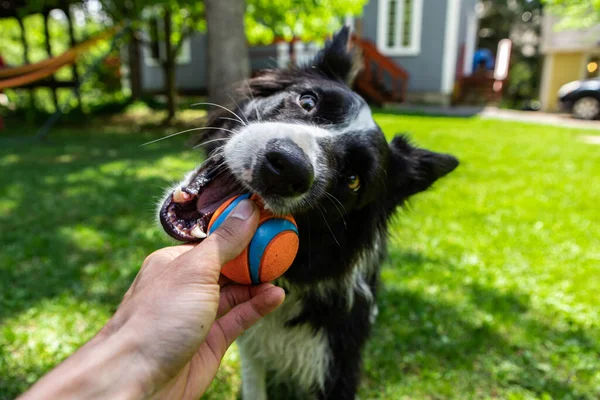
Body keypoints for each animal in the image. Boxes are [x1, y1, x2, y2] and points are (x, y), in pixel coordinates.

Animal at [157, 26, 458, 398]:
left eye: (354, 180)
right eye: (307, 101)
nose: (287, 167)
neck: (296, 281)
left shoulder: (337, 363)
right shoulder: (252, 351)